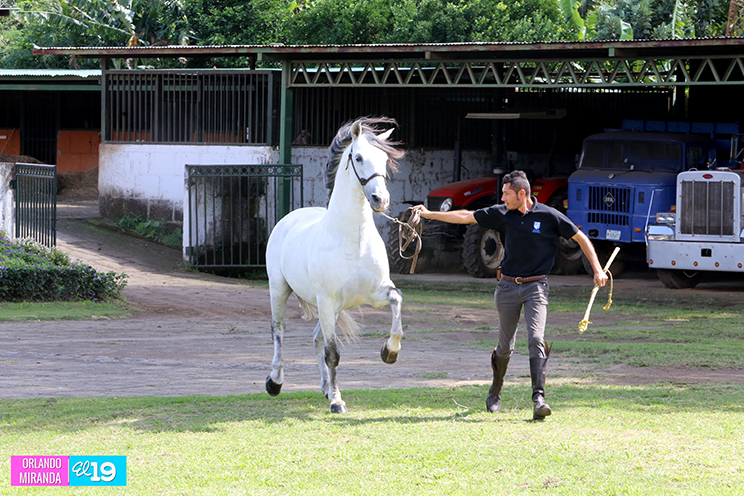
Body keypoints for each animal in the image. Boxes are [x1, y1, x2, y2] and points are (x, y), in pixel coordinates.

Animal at [265, 117, 406, 413]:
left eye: (385, 159)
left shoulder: (376, 295)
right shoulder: (327, 302)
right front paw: (338, 402)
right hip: (280, 290)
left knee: (316, 338)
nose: (381, 200)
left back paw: (325, 388)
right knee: (279, 331)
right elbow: (333, 354)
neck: (353, 240)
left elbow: (397, 302)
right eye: (359, 157)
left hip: (331, 309)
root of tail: (290, 218)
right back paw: (275, 381)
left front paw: (389, 352)